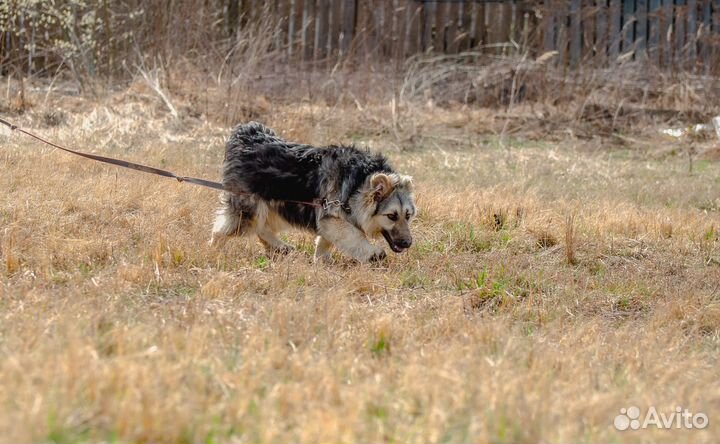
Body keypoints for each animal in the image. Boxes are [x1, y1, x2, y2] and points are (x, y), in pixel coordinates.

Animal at [208, 120, 416, 264]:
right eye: (391, 216)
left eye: (408, 216)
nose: (408, 244)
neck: (359, 184)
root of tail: (246, 135)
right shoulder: (333, 216)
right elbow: (354, 235)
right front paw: (373, 253)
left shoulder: (329, 218)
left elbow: (326, 239)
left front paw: (321, 260)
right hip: (251, 208)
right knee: (223, 230)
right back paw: (213, 251)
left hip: (276, 205)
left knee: (262, 228)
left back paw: (279, 247)